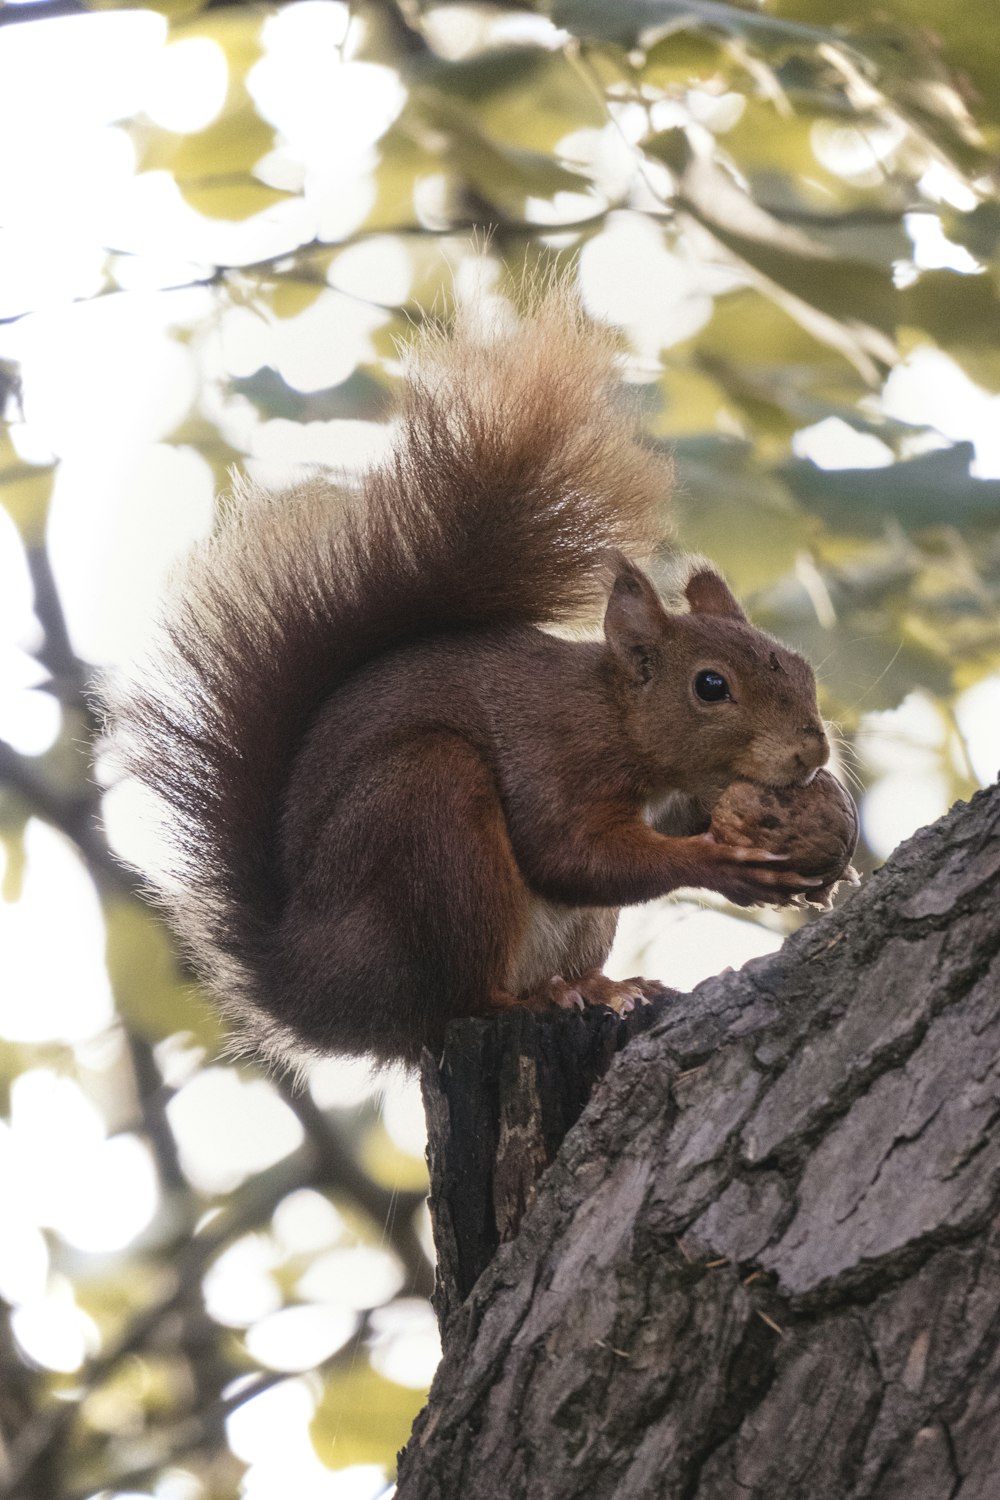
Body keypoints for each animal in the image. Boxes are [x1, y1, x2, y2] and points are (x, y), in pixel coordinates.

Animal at [107, 289, 827, 1068]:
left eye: (802, 666)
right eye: (711, 687)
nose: (813, 752)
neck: (614, 716)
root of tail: (316, 995)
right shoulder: (555, 757)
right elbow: (570, 855)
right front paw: (721, 862)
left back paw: (600, 986)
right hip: (431, 821)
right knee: (459, 997)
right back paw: (528, 999)